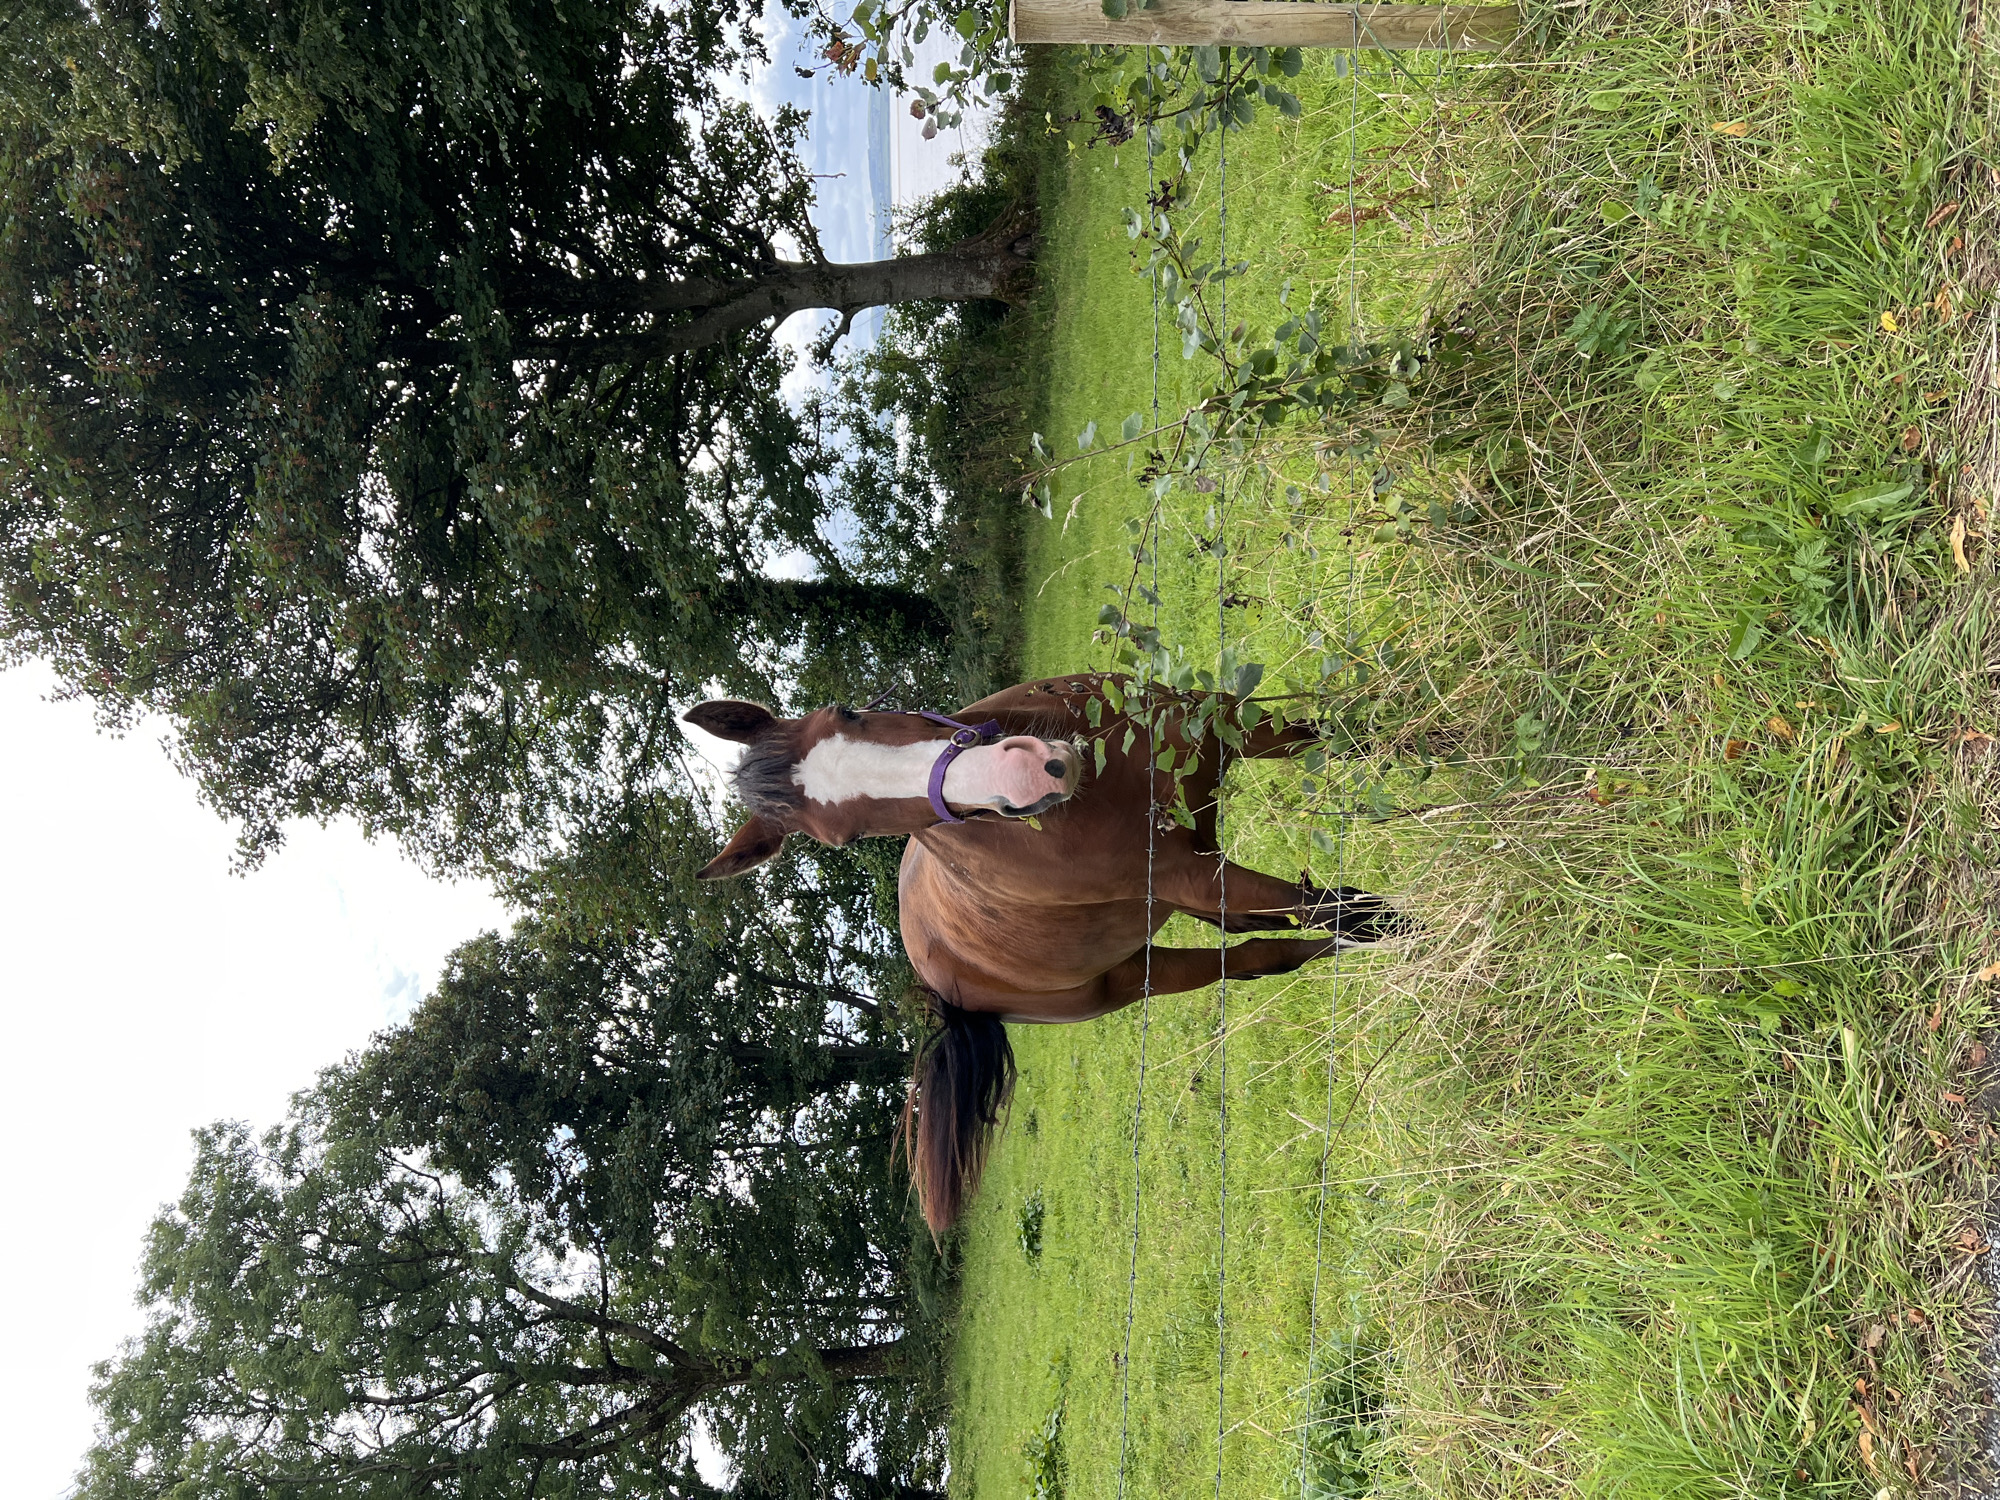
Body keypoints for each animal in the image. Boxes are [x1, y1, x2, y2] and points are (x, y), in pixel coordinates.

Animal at [686, 673, 1407, 1232]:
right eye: (846, 837)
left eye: (848, 712)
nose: (1028, 771)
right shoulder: (1193, 876)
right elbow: (1340, 907)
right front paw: (1421, 935)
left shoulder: (1227, 720)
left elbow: (1350, 732)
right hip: (1136, 975)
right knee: (1259, 954)